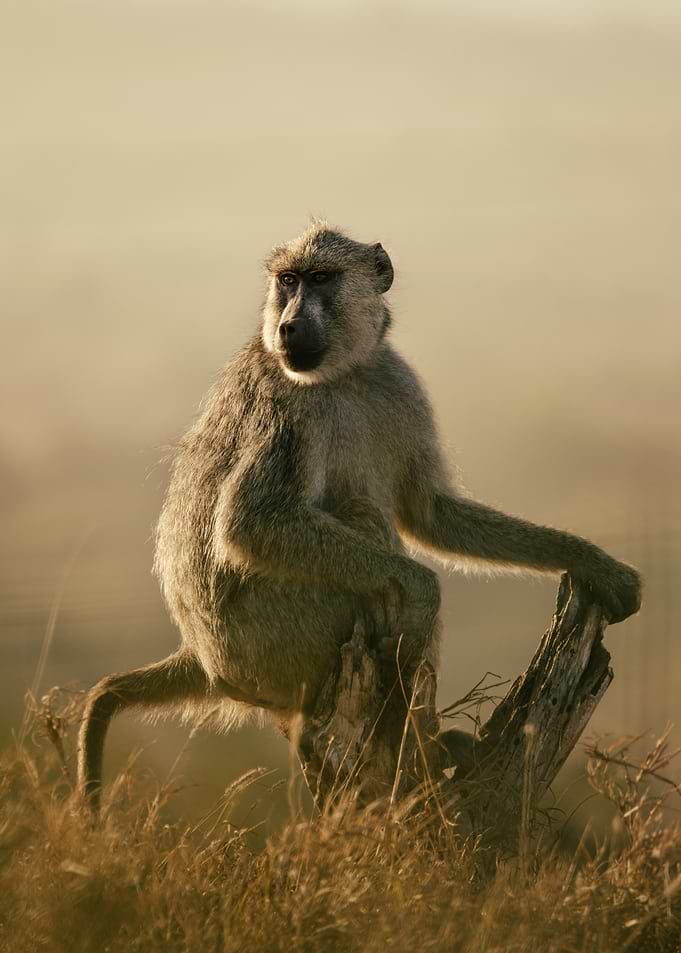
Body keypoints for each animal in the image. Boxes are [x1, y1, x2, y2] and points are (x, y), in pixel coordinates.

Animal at [77, 221, 641, 811]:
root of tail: (203, 659)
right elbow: (252, 523)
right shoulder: (285, 404)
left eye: (322, 278)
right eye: (288, 280)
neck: (345, 373)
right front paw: (423, 588)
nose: (289, 324)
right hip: (270, 638)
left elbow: (431, 513)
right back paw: (420, 740)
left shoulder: (396, 380)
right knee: (361, 522)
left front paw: (594, 562)